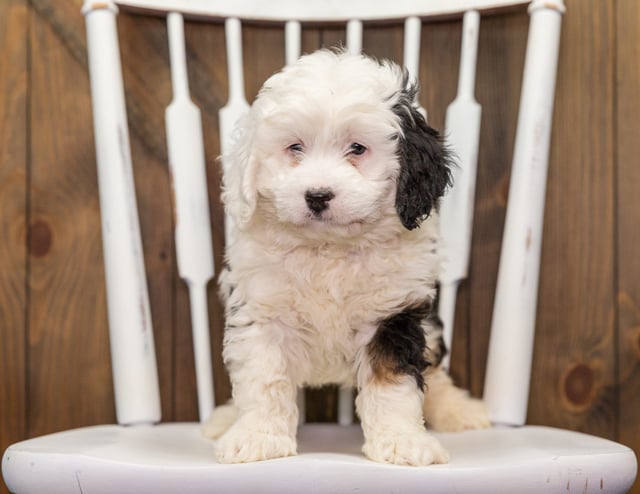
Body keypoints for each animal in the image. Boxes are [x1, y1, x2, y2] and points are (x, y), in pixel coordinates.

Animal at [205, 49, 490, 466]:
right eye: (295, 148)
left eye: (357, 149)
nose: (317, 196)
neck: (329, 249)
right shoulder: (262, 311)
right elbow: (264, 379)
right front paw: (258, 437)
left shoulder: (394, 314)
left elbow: (393, 384)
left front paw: (402, 441)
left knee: (435, 372)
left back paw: (458, 411)